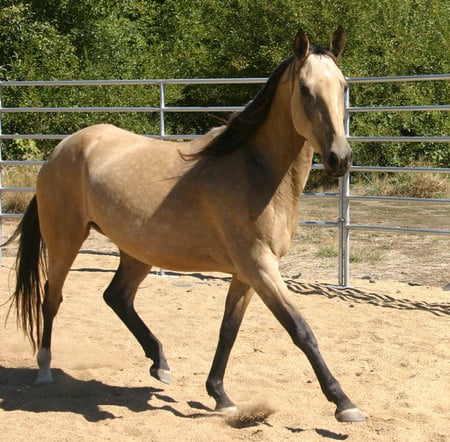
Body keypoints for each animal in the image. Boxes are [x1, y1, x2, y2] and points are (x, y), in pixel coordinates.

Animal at [3, 26, 366, 422]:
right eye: (304, 89)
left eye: (343, 86)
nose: (340, 158)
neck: (255, 170)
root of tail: (60, 150)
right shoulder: (259, 266)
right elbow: (300, 329)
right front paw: (344, 403)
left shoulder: (246, 273)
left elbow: (228, 330)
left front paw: (220, 395)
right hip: (65, 241)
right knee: (51, 298)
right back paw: (44, 369)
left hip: (137, 251)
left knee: (116, 297)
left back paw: (160, 363)